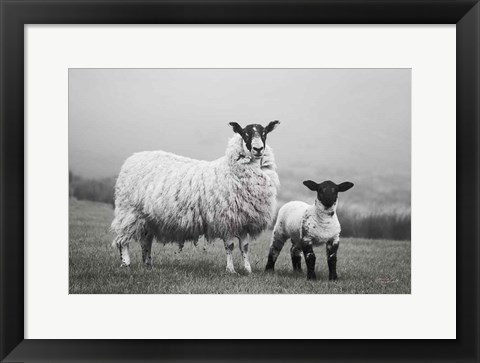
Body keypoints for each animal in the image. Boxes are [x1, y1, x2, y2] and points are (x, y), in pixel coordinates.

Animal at [110, 121, 280, 274]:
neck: (230, 169)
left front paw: (248, 270)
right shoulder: (226, 219)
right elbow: (230, 246)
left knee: (146, 241)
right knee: (123, 239)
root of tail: (132, 158)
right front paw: (231, 270)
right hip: (129, 211)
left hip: (148, 217)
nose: (258, 149)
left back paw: (148, 264)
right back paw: (126, 263)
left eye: (264, 132)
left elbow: (244, 247)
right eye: (245, 133)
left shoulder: (243, 220)